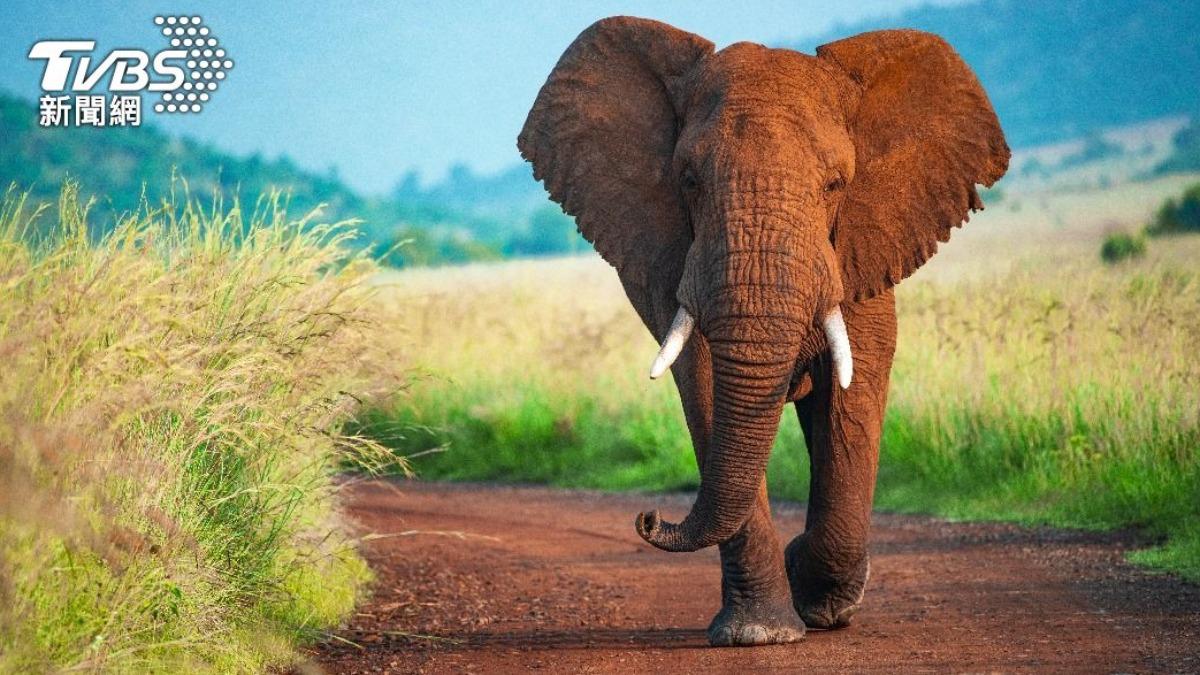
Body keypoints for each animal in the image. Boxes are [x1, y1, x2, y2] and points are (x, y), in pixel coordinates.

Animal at [517, 17, 1008, 647]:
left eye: (836, 184)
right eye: (688, 180)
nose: (649, 517)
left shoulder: (859, 249)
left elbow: (851, 397)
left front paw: (817, 602)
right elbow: (705, 385)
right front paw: (760, 634)